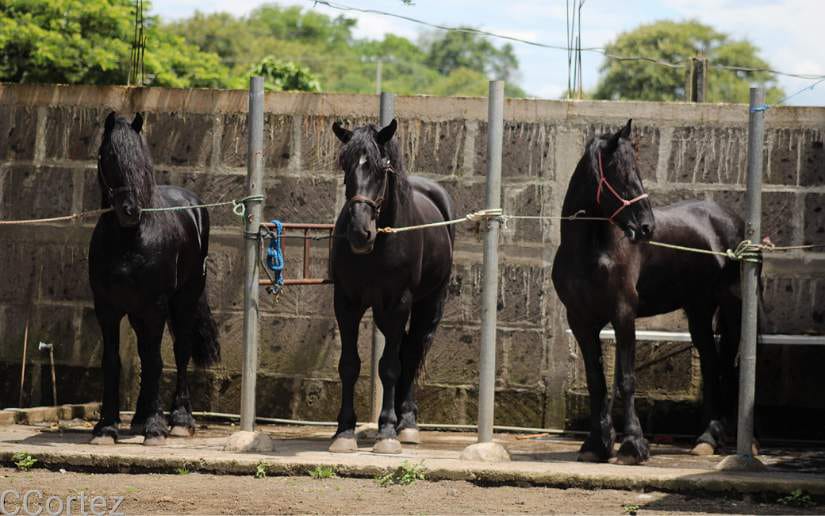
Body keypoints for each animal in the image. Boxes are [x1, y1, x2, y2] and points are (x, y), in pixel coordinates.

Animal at [88, 112, 220, 445]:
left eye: (140, 159)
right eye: (108, 156)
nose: (129, 211)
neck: (130, 240)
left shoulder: (156, 307)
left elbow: (155, 361)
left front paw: (155, 427)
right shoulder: (106, 309)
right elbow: (113, 361)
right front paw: (106, 427)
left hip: (184, 301)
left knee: (180, 350)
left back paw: (180, 420)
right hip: (138, 312)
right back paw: (137, 419)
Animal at [328, 119, 455, 454]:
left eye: (380, 167)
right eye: (345, 164)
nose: (360, 233)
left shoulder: (399, 303)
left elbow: (389, 367)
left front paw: (386, 430)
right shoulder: (345, 302)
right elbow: (349, 365)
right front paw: (344, 431)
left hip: (428, 304)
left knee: (412, 351)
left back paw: (406, 422)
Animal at [551, 119, 744, 465]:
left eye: (637, 170)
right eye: (618, 173)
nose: (646, 227)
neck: (590, 251)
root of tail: (730, 219)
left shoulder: (623, 314)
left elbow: (626, 380)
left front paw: (633, 445)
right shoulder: (581, 322)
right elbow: (597, 382)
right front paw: (596, 444)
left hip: (732, 310)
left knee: (725, 367)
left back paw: (716, 437)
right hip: (698, 310)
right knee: (711, 365)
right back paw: (706, 439)